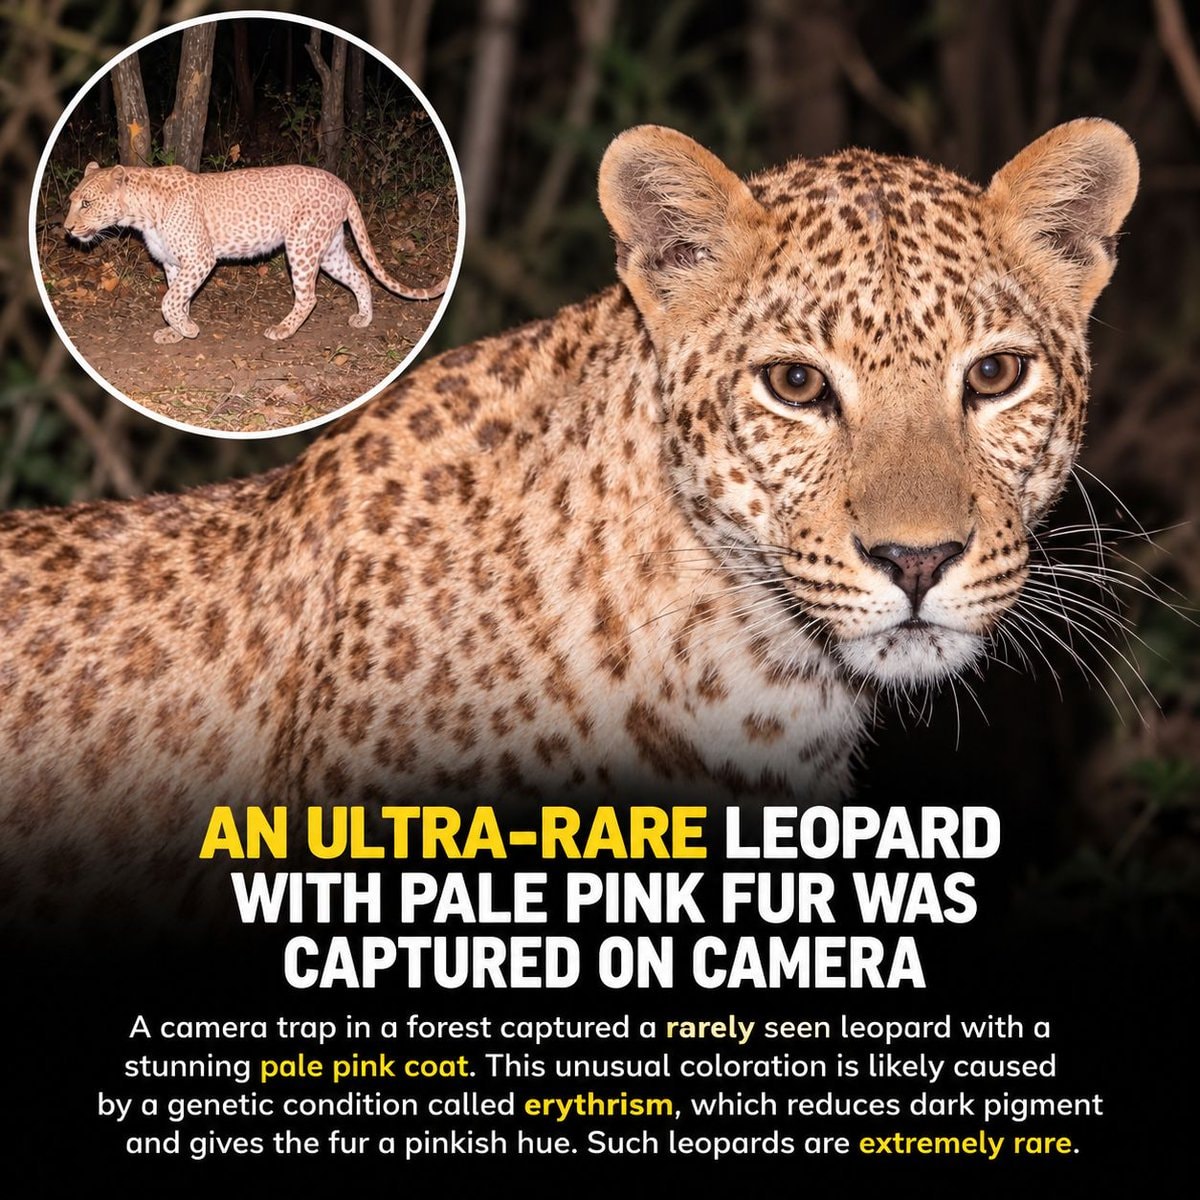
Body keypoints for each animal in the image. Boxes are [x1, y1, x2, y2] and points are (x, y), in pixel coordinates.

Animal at [61, 162, 450, 343]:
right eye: (71, 201)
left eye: (87, 203)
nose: (66, 229)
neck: (140, 213)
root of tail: (342, 183)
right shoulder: (173, 263)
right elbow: (176, 299)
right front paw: (177, 331)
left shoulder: (200, 259)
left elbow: (169, 301)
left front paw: (187, 329)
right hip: (329, 249)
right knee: (359, 277)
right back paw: (363, 318)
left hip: (302, 245)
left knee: (309, 296)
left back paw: (283, 330)